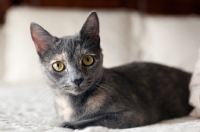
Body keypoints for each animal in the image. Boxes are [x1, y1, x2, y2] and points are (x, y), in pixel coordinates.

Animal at [30, 11, 193, 129]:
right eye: (58, 65)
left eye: (87, 60)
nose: (77, 79)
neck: (73, 104)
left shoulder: (134, 114)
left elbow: (96, 120)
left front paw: (68, 125)